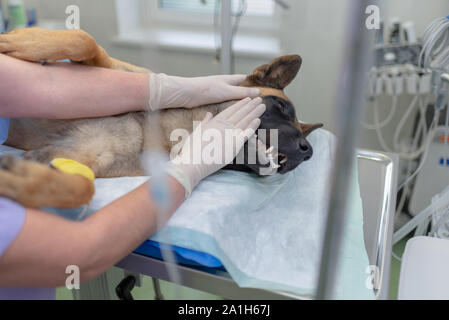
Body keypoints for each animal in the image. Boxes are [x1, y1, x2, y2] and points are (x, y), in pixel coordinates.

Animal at [0, 28, 322, 209]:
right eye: (282, 106)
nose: (308, 151)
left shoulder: (77, 157)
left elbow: (82, 185)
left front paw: (24, 181)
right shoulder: (104, 67)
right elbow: (85, 40)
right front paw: (20, 38)